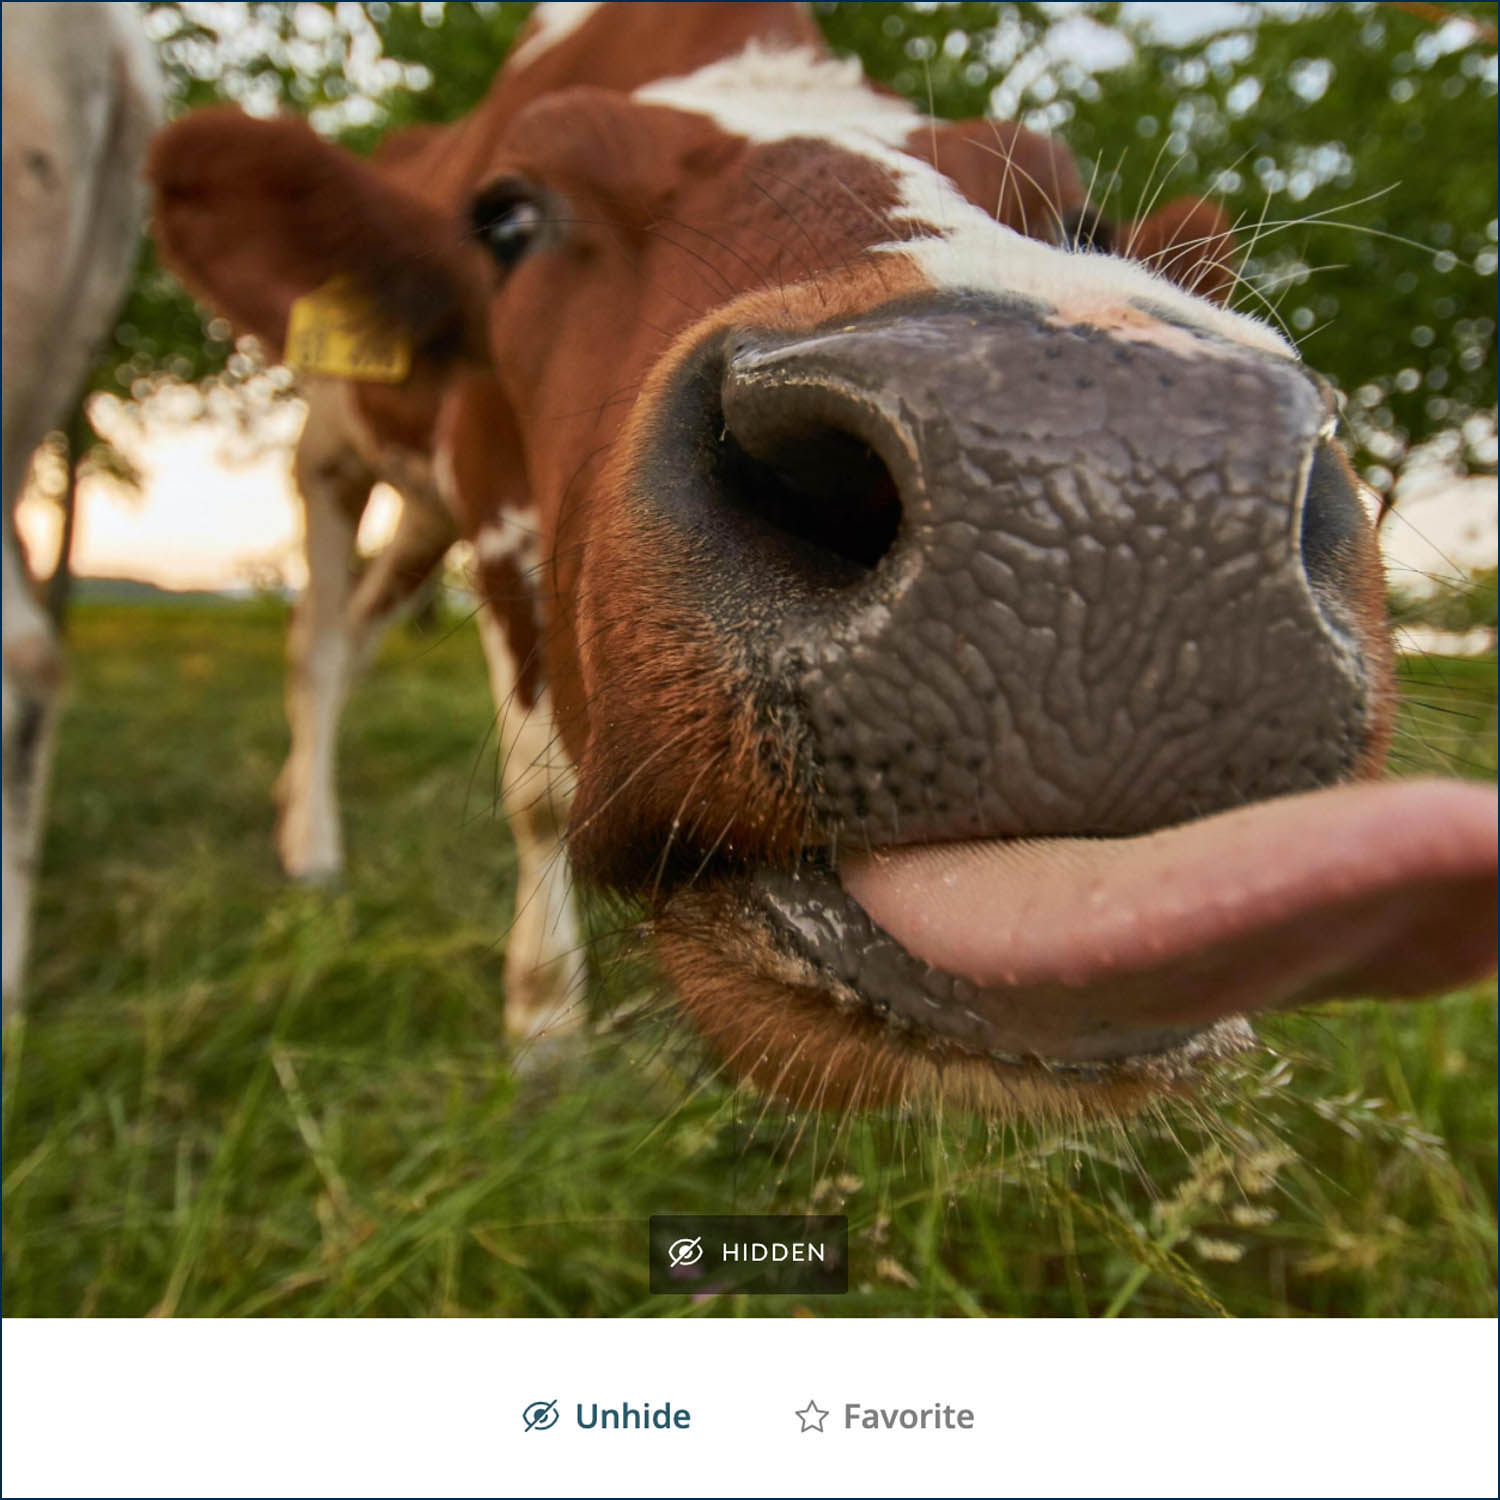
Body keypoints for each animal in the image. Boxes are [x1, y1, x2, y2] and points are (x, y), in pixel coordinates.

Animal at [149, 1, 1498, 1116]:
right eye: (506, 217)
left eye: (1083, 220)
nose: (1109, 487)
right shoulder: (491, 494)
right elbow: (534, 787)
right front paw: (542, 1033)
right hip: (335, 451)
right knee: (319, 639)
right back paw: (312, 848)